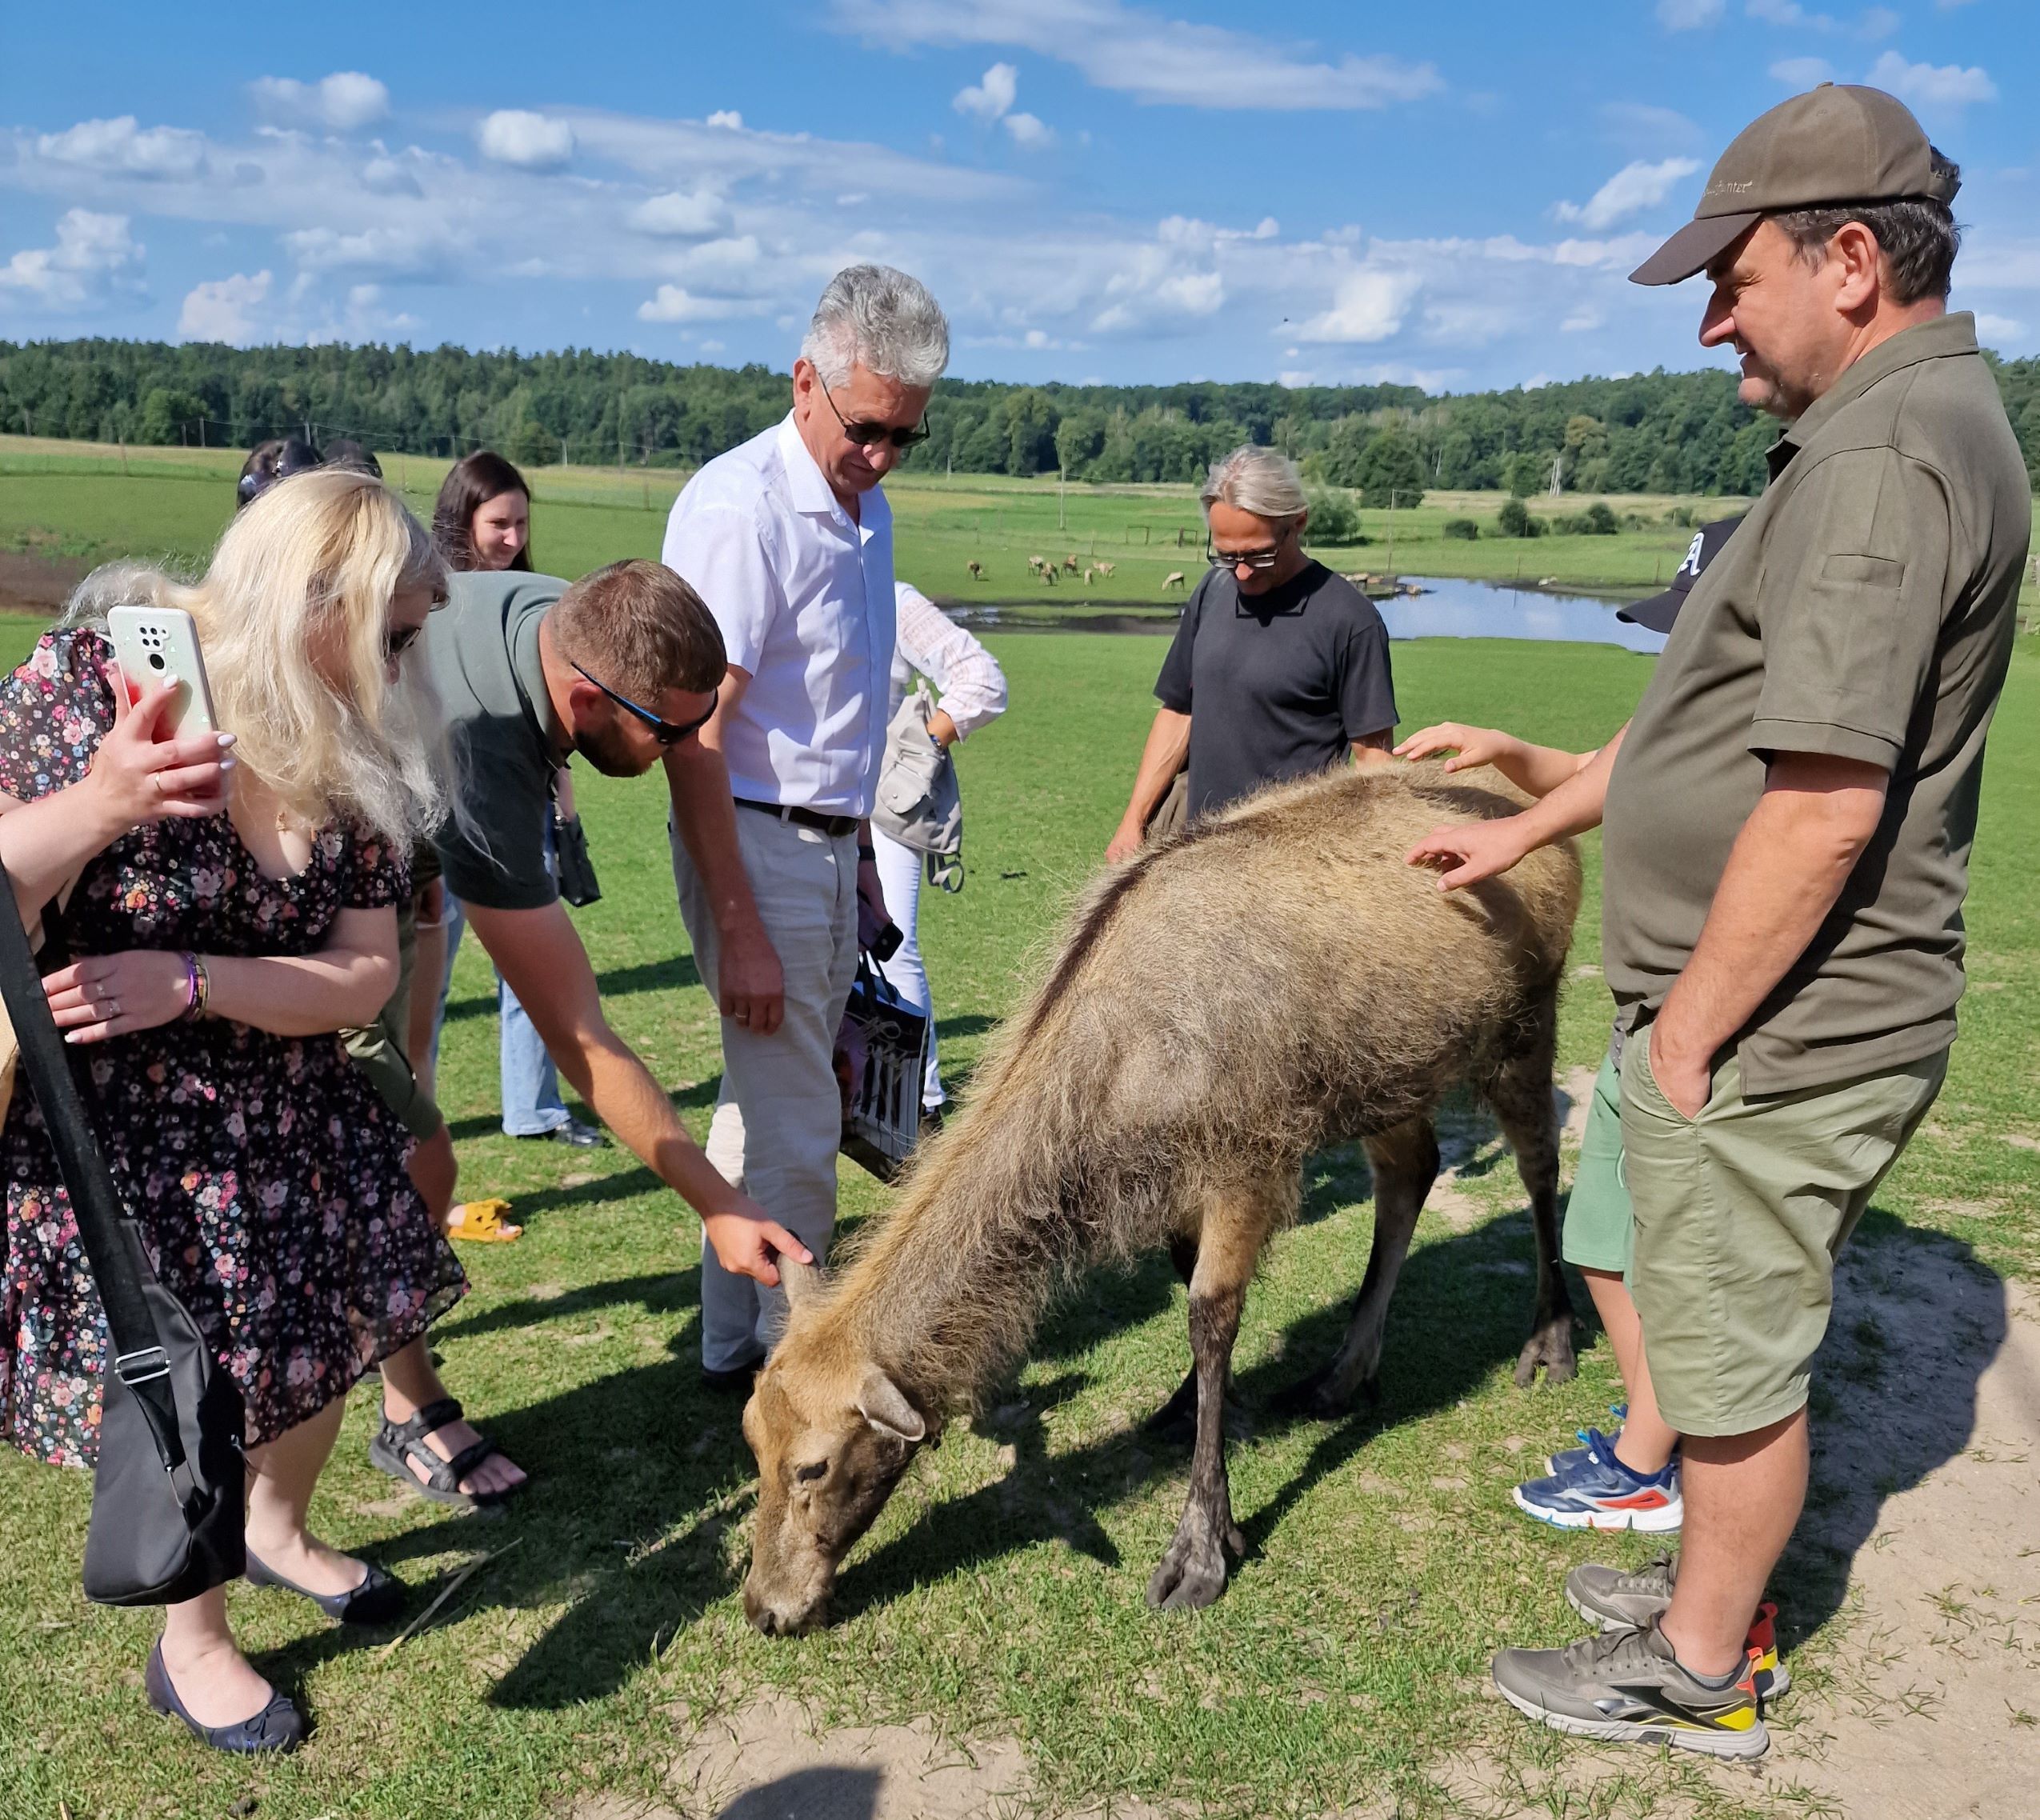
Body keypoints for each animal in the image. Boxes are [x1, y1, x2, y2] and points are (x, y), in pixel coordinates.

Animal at [742, 762, 1582, 1632]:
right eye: (752, 1444)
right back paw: (1343, 1373)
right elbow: (1188, 1283)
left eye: (813, 1466)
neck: (1116, 1113)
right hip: (1387, 1075)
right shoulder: (1181, 1181)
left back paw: (1550, 1340)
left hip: (1527, 1018)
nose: (766, 1607)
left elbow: (1212, 1316)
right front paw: (1192, 1408)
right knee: (1412, 1171)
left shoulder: (1252, 1152)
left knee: (1540, 1162)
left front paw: (1202, 1546)